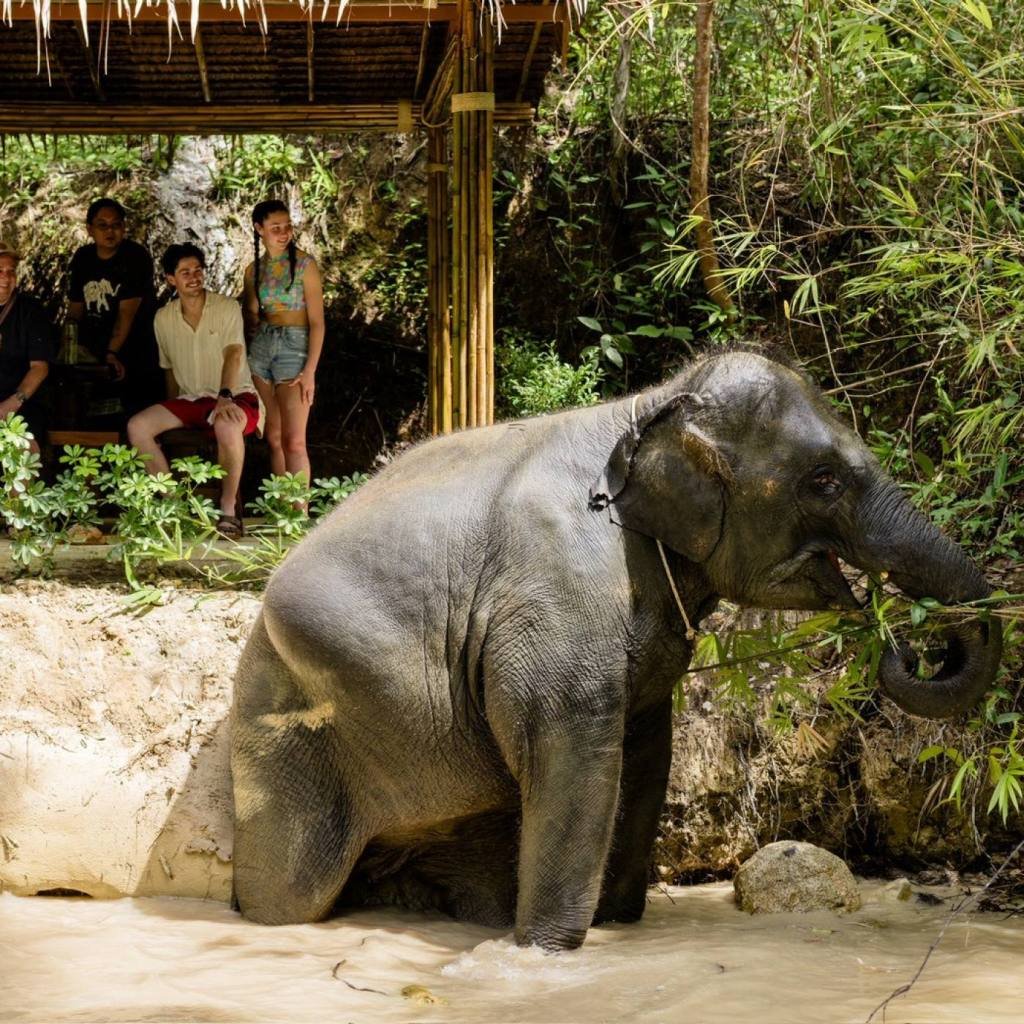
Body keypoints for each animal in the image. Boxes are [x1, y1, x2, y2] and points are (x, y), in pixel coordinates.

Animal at [230, 349, 1002, 951]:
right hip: (285, 721)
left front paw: (613, 928)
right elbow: (575, 751)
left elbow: (646, 749)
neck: (649, 405)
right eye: (825, 482)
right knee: (289, 893)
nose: (903, 639)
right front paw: (543, 953)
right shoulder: (559, 590)